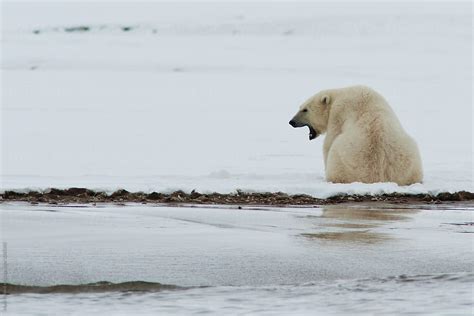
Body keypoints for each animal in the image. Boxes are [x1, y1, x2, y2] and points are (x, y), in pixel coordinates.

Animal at [288, 85, 422, 186]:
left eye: (305, 109)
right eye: (301, 107)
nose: (291, 122)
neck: (338, 95)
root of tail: (378, 177)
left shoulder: (338, 113)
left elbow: (329, 142)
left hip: (342, 160)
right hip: (411, 159)